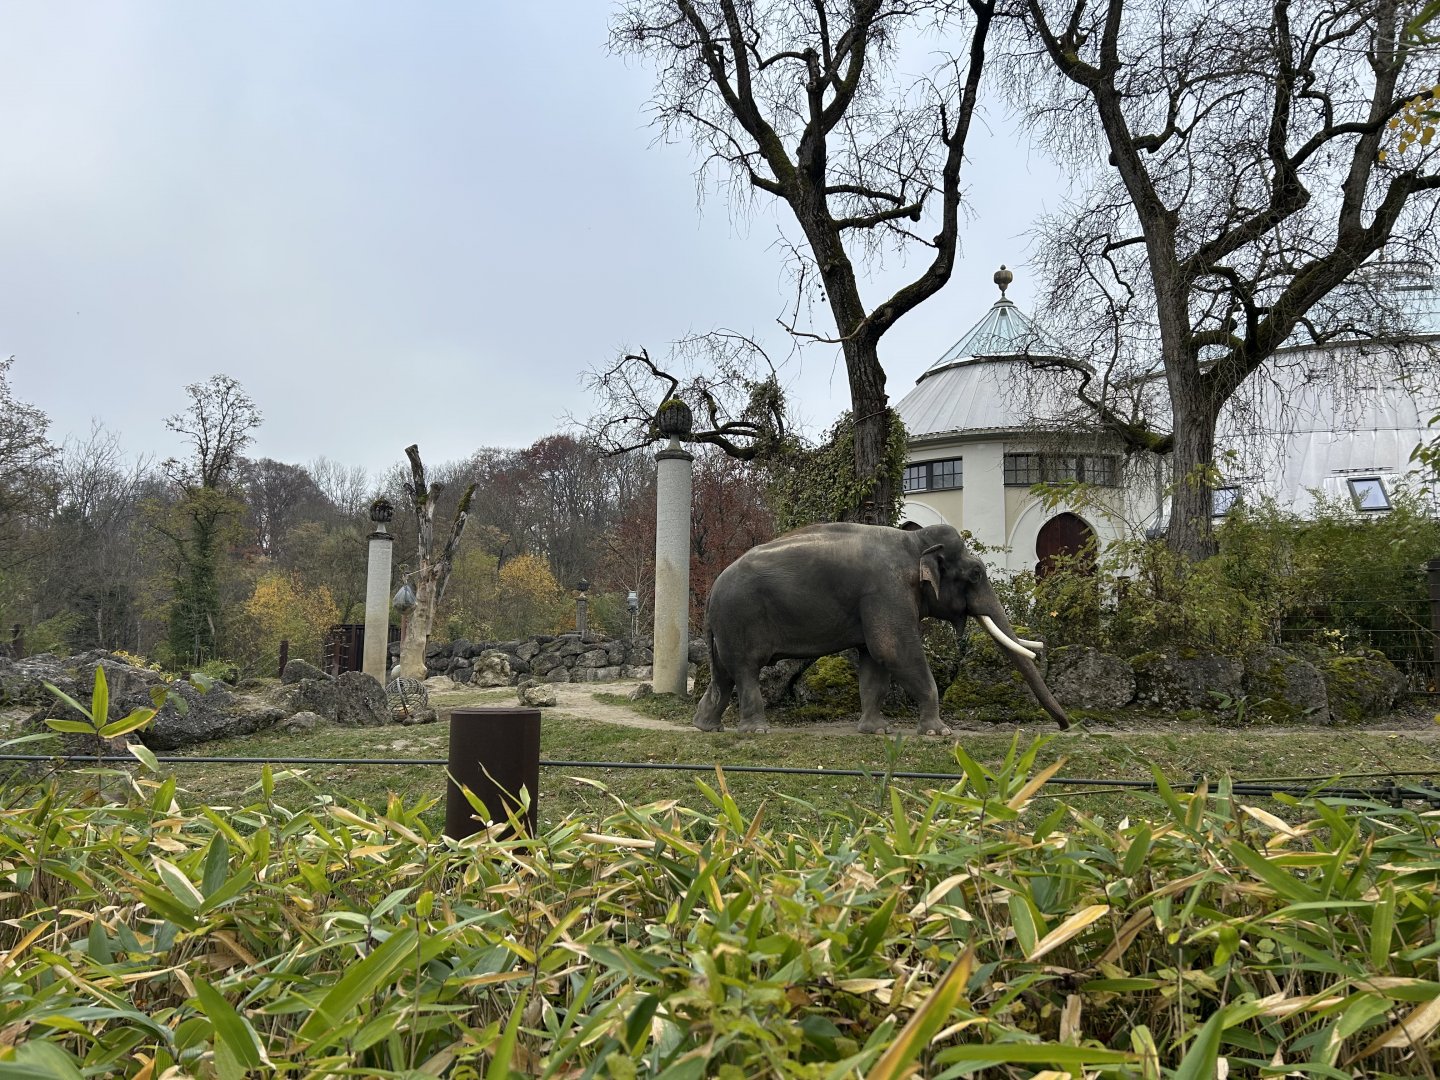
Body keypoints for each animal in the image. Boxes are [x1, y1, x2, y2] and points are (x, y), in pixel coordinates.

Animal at [692, 522, 1071, 735]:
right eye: (976, 574)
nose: (1066, 727)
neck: (915, 542)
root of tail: (711, 592)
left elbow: (875, 662)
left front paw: (878, 731)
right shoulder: (886, 590)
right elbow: (895, 651)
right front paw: (940, 734)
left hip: (724, 627)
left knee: (722, 675)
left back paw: (708, 727)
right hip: (739, 618)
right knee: (745, 671)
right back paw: (755, 732)